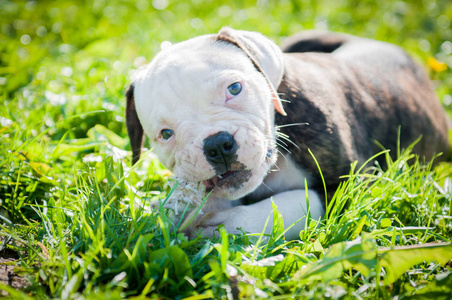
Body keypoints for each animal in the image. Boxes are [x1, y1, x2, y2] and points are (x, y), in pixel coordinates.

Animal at [124, 27, 452, 239]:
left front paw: (227, 225)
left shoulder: (356, 183)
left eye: (235, 88)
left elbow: (298, 202)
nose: (217, 144)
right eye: (166, 133)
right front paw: (175, 210)